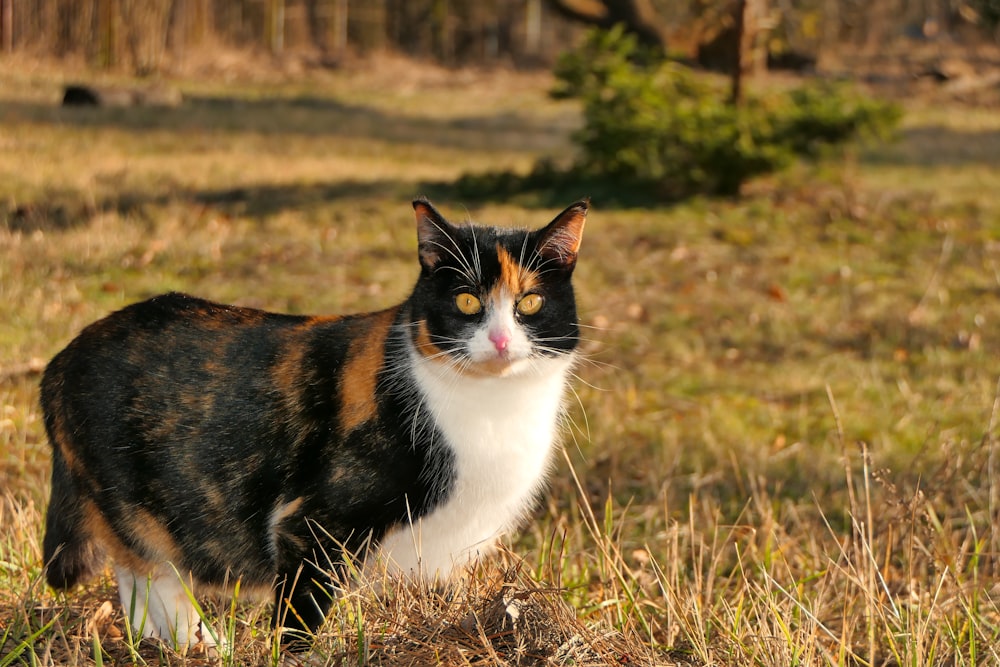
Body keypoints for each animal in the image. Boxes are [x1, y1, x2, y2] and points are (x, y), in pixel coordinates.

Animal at [39, 198, 584, 652]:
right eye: (468, 301)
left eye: (530, 302)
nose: (500, 341)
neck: (492, 406)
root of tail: (60, 360)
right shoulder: (311, 523)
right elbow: (299, 615)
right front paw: (295, 655)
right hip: (137, 505)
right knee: (154, 571)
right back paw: (201, 646)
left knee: (133, 579)